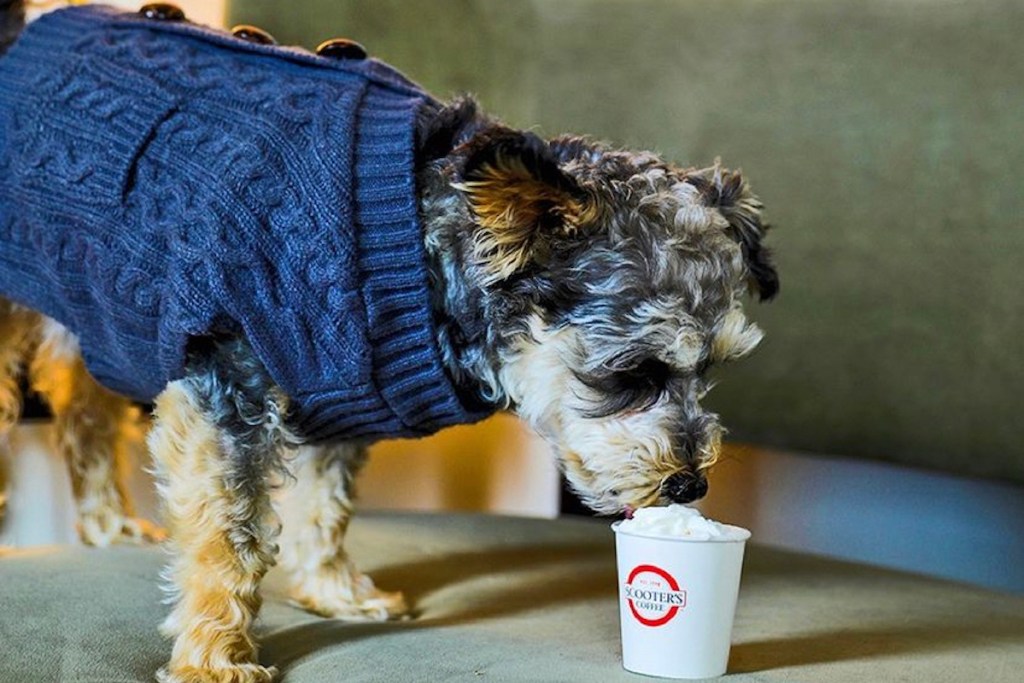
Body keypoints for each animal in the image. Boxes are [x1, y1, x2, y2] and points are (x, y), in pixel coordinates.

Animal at [0, 2, 778, 679]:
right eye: (631, 373)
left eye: (712, 369)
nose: (692, 482)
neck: (417, 240)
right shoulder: (226, 389)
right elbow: (230, 538)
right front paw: (214, 657)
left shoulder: (341, 380)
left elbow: (326, 505)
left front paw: (333, 591)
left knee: (84, 415)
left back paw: (105, 524)